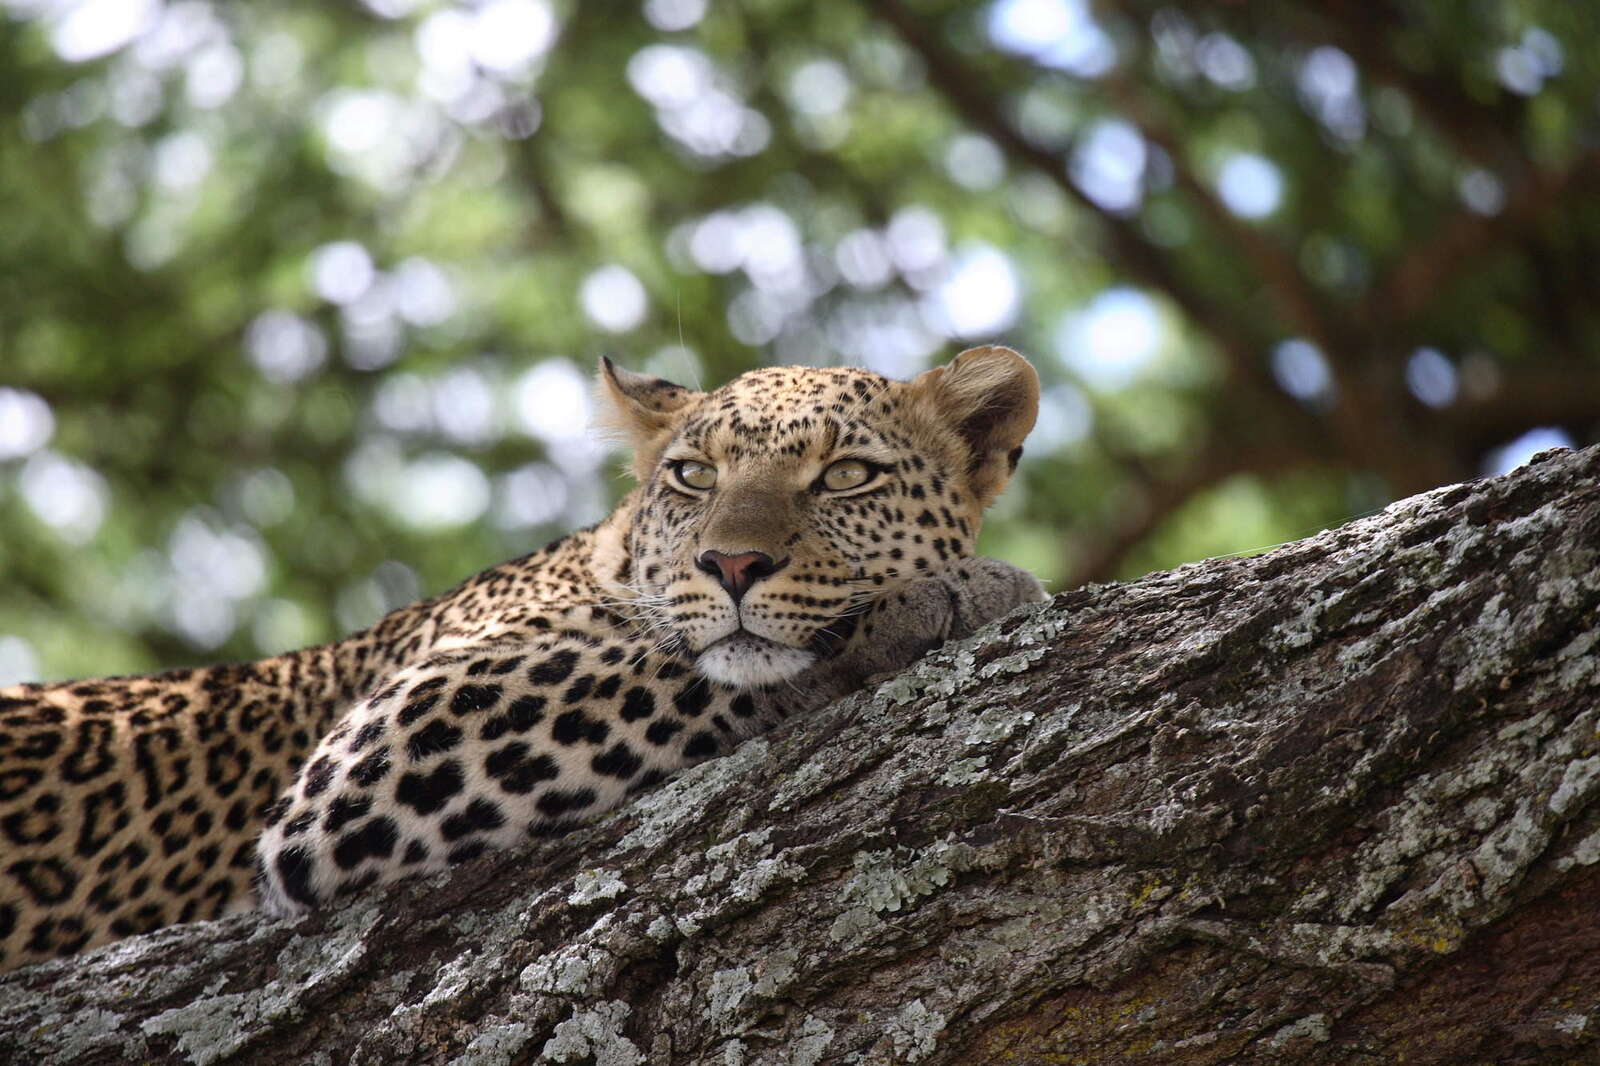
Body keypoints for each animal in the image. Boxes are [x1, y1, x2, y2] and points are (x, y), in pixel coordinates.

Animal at [0, 344, 1043, 966]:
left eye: (847, 476)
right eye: (693, 476)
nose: (733, 563)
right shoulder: (386, 742)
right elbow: (679, 666)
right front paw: (948, 597)